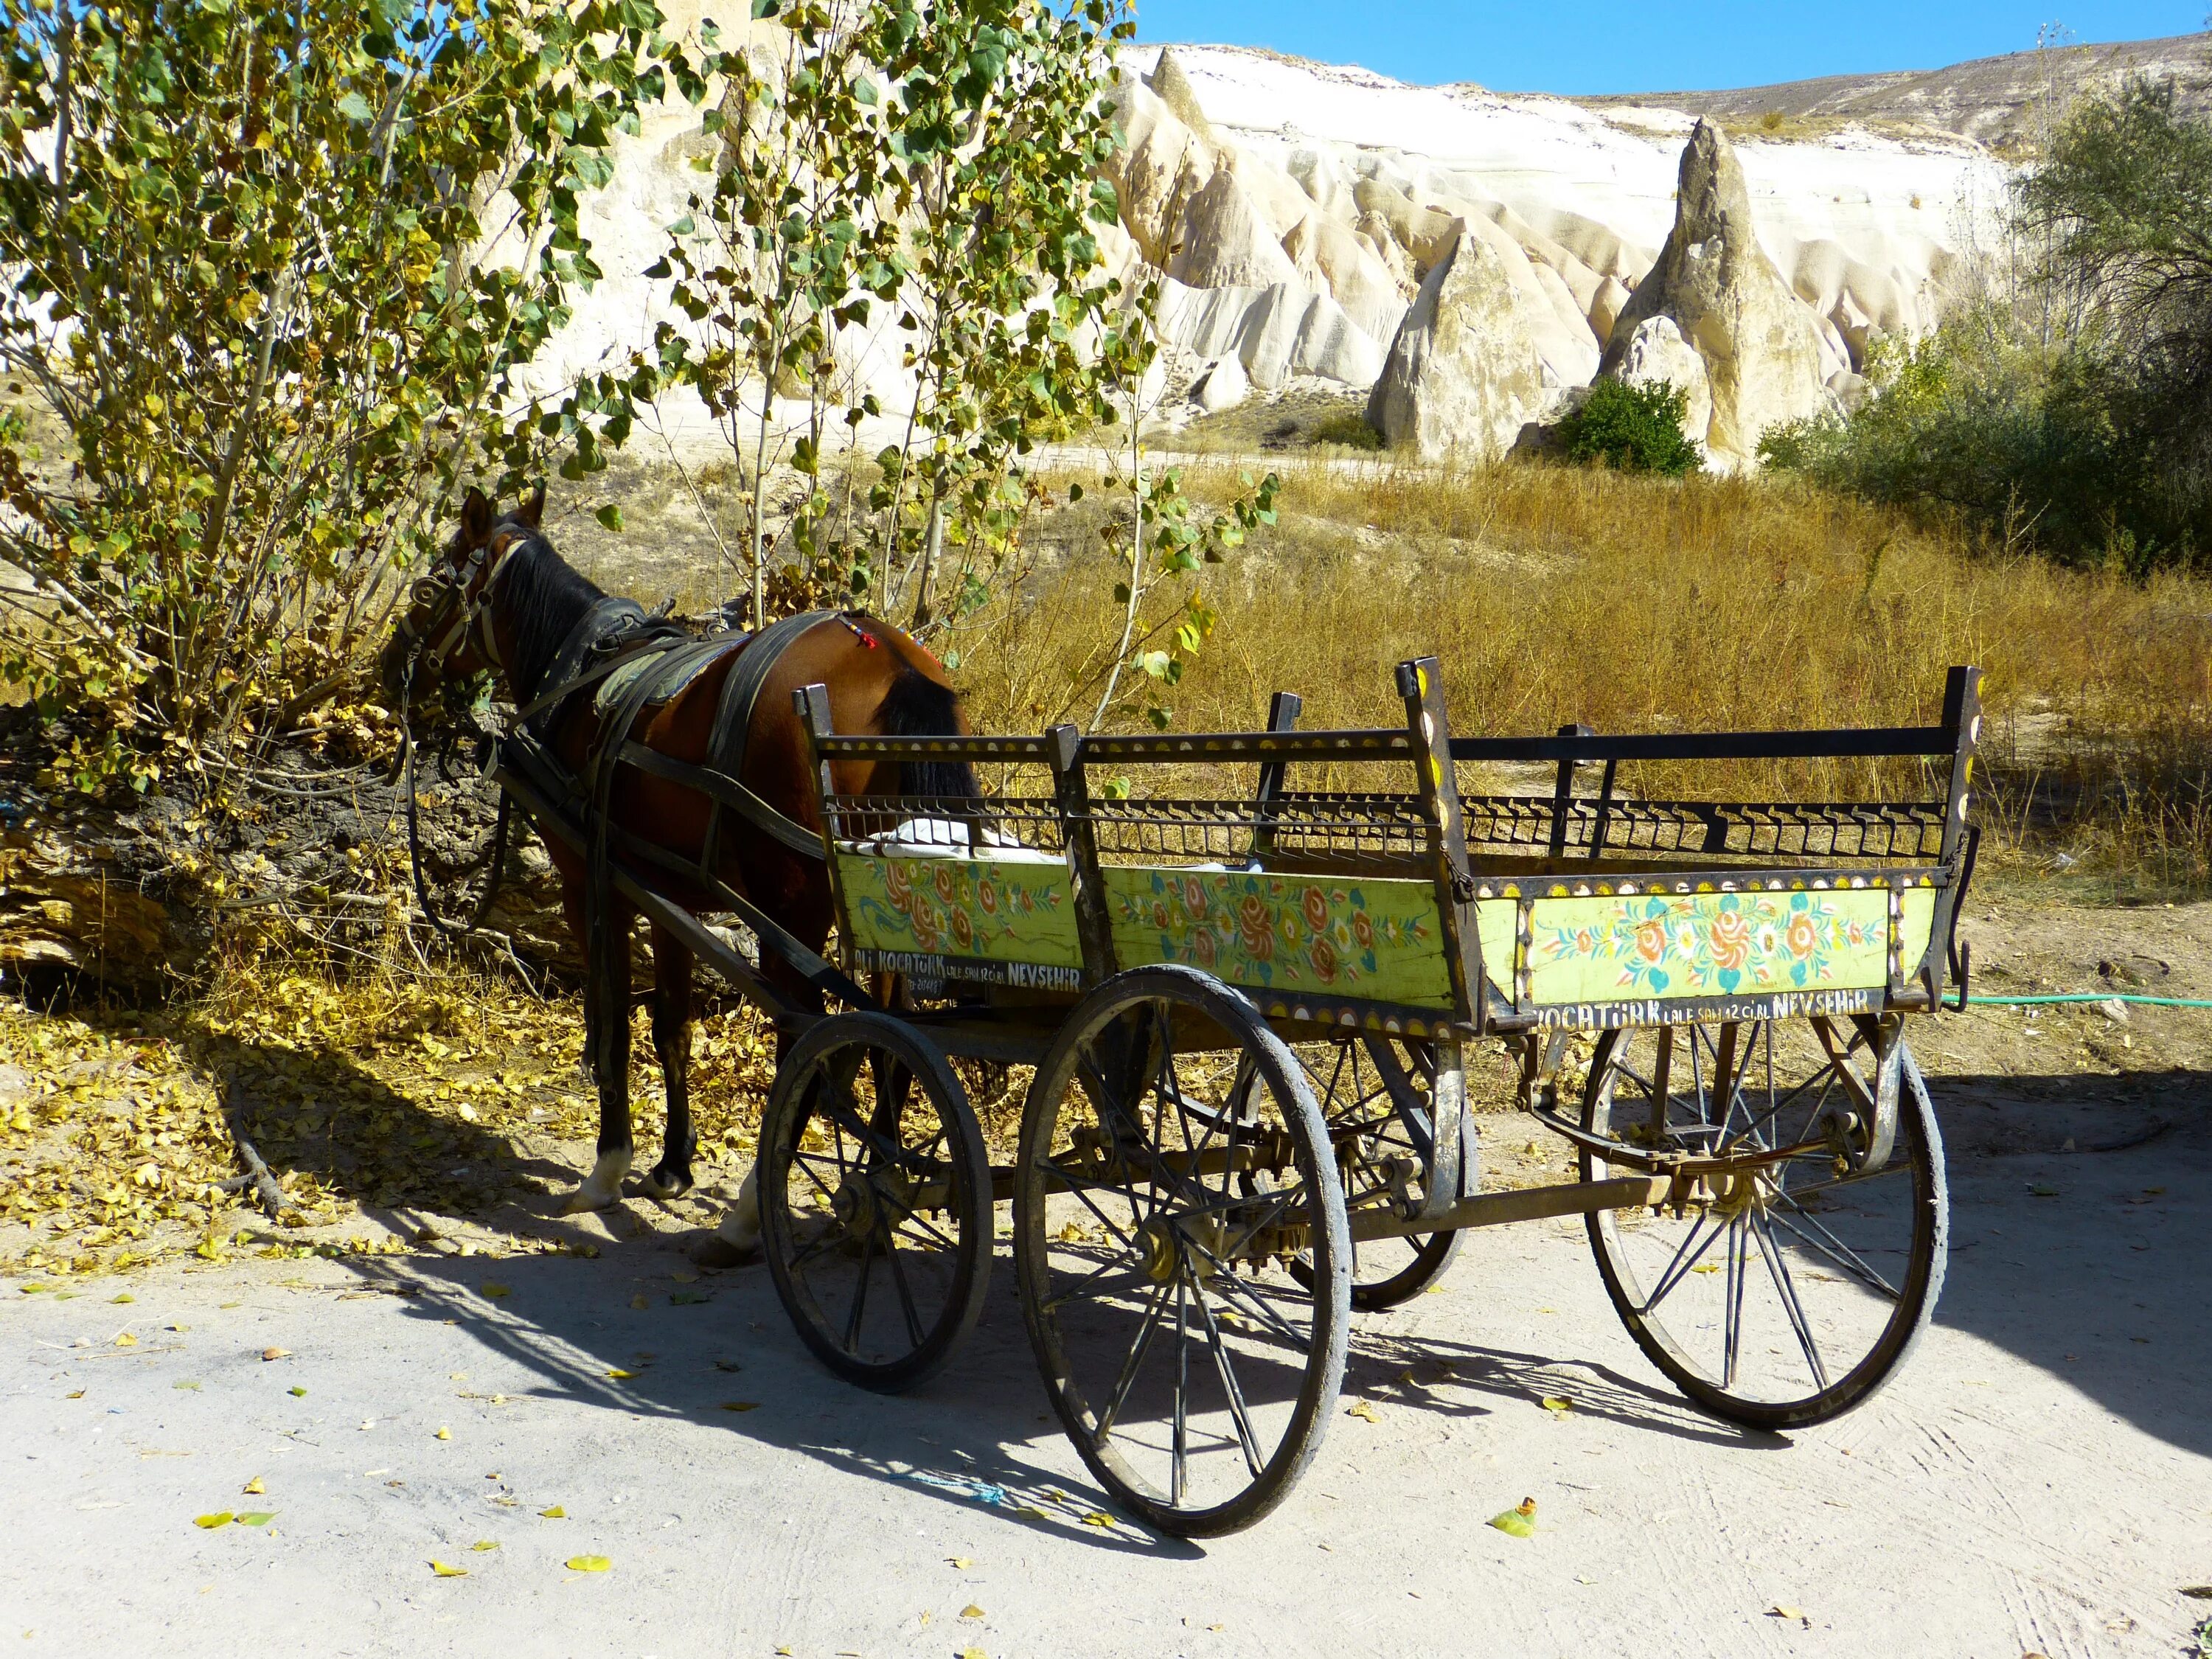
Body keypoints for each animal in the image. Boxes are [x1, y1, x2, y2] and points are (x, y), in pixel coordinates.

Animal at [380, 487, 978, 1265]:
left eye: (431, 587)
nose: (387, 665)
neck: (584, 670)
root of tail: (895, 667)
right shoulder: (669, 899)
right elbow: (672, 1027)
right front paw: (671, 1164)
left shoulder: (594, 886)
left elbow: (611, 1022)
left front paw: (608, 1169)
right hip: (886, 906)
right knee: (897, 1044)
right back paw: (879, 1193)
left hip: (791, 911)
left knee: (808, 1040)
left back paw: (752, 1215)